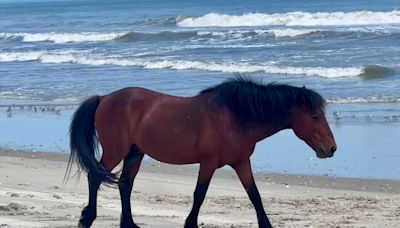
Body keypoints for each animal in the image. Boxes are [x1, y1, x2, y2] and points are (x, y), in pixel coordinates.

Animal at [67, 77, 336, 228]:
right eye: (314, 116)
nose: (331, 148)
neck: (235, 117)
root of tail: (104, 98)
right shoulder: (208, 163)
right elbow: (199, 195)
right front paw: (190, 224)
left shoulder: (241, 162)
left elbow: (255, 196)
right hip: (116, 151)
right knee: (95, 177)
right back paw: (86, 218)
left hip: (135, 153)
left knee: (125, 184)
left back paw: (130, 225)